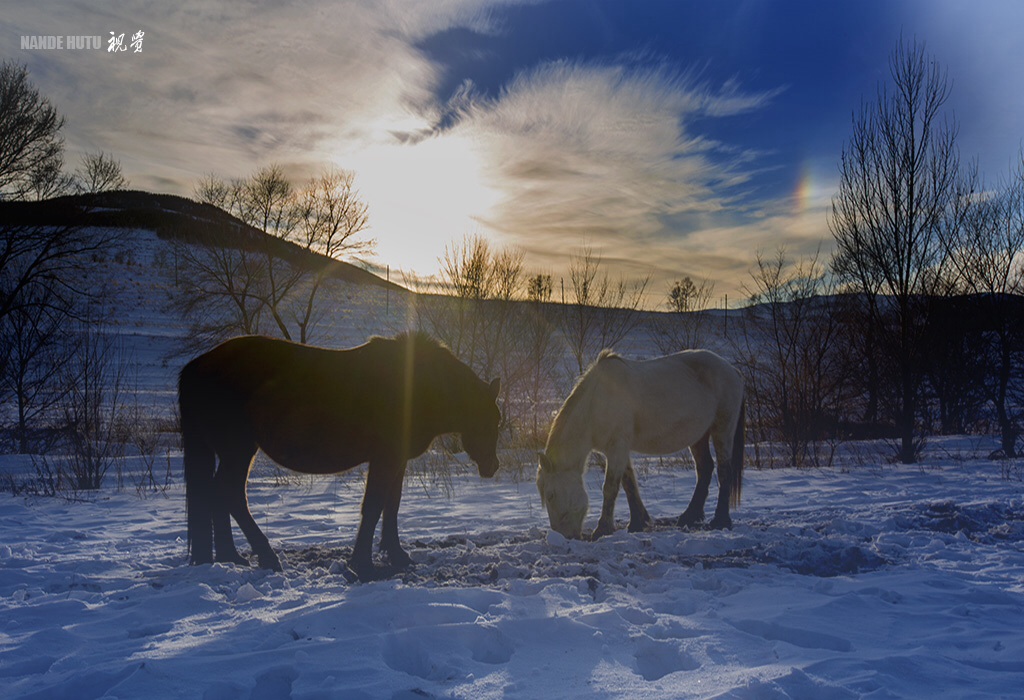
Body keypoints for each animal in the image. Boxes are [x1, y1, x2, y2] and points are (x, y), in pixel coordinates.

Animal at [180, 331, 499, 581]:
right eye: (491, 420)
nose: (493, 467)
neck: (417, 387)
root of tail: (199, 365)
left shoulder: (397, 461)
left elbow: (391, 506)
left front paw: (396, 554)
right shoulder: (385, 459)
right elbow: (373, 506)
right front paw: (363, 565)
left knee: (218, 495)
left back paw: (230, 556)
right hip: (239, 450)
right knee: (229, 494)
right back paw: (265, 556)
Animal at [536, 347, 745, 540]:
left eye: (551, 495)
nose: (563, 535)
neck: (595, 402)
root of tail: (732, 369)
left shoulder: (617, 447)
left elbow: (610, 488)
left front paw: (602, 529)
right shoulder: (617, 450)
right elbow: (629, 483)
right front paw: (638, 522)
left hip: (722, 429)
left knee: (724, 471)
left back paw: (720, 521)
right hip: (698, 436)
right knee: (704, 469)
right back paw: (689, 516)